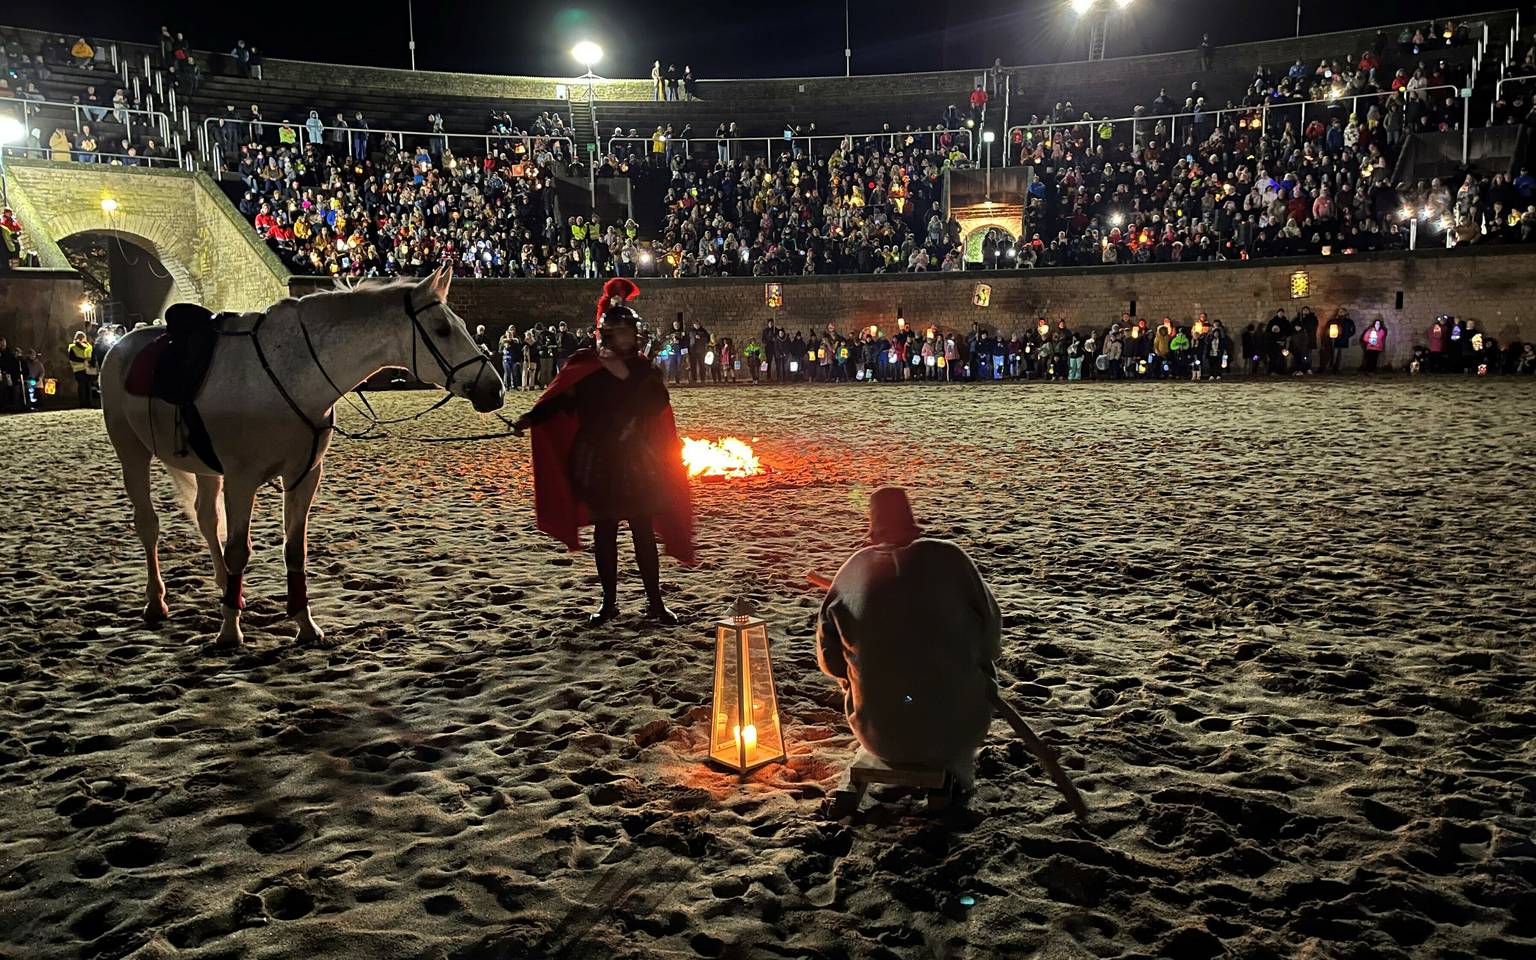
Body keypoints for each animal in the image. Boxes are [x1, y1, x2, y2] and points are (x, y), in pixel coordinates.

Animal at [100, 265, 503, 648]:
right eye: (442, 330)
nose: (494, 389)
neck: (290, 374)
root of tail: (121, 345)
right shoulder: (241, 481)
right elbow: (238, 551)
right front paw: (229, 632)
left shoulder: (303, 476)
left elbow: (295, 551)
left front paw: (304, 625)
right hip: (131, 453)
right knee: (149, 525)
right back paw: (156, 601)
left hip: (206, 469)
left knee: (205, 519)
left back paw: (226, 589)